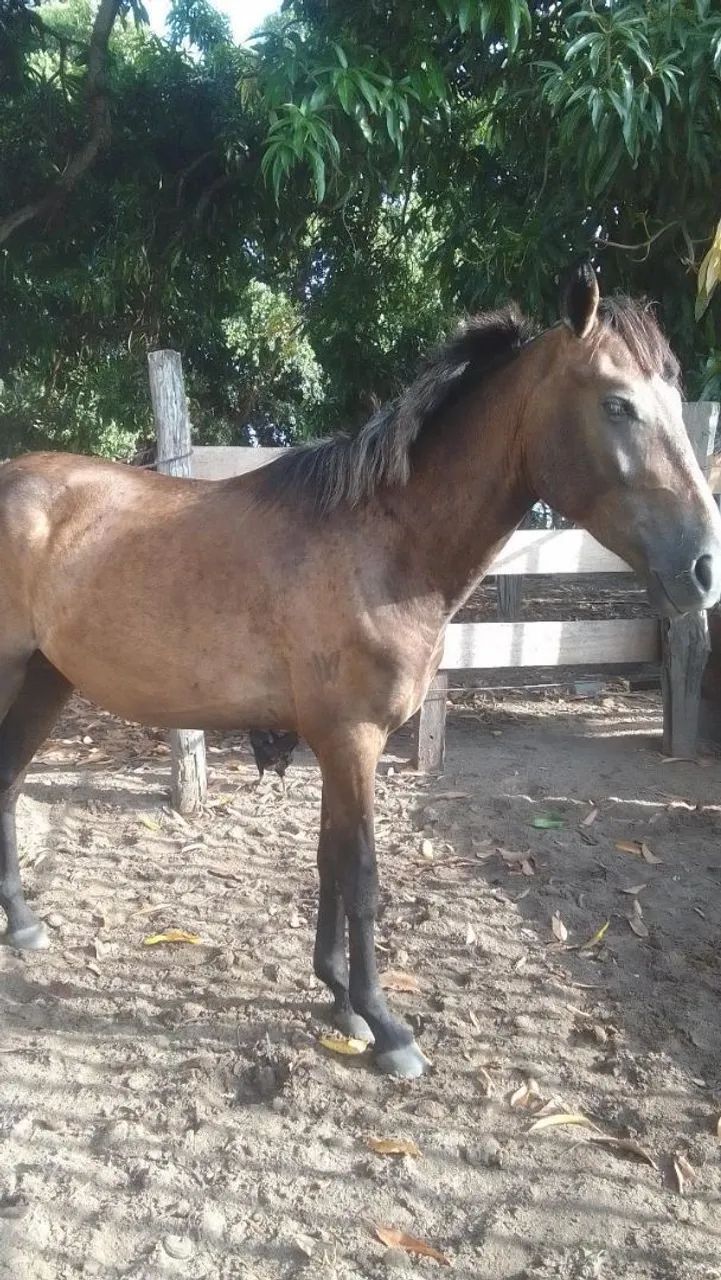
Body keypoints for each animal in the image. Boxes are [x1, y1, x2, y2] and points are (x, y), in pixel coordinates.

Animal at [1, 261, 720, 1078]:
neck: (380, 544)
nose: (702, 567)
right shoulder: (353, 741)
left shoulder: (336, 745)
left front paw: (339, 998)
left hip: (45, 681)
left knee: (9, 781)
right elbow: (363, 878)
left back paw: (22, 924)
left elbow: (329, 863)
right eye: (617, 403)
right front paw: (386, 1025)